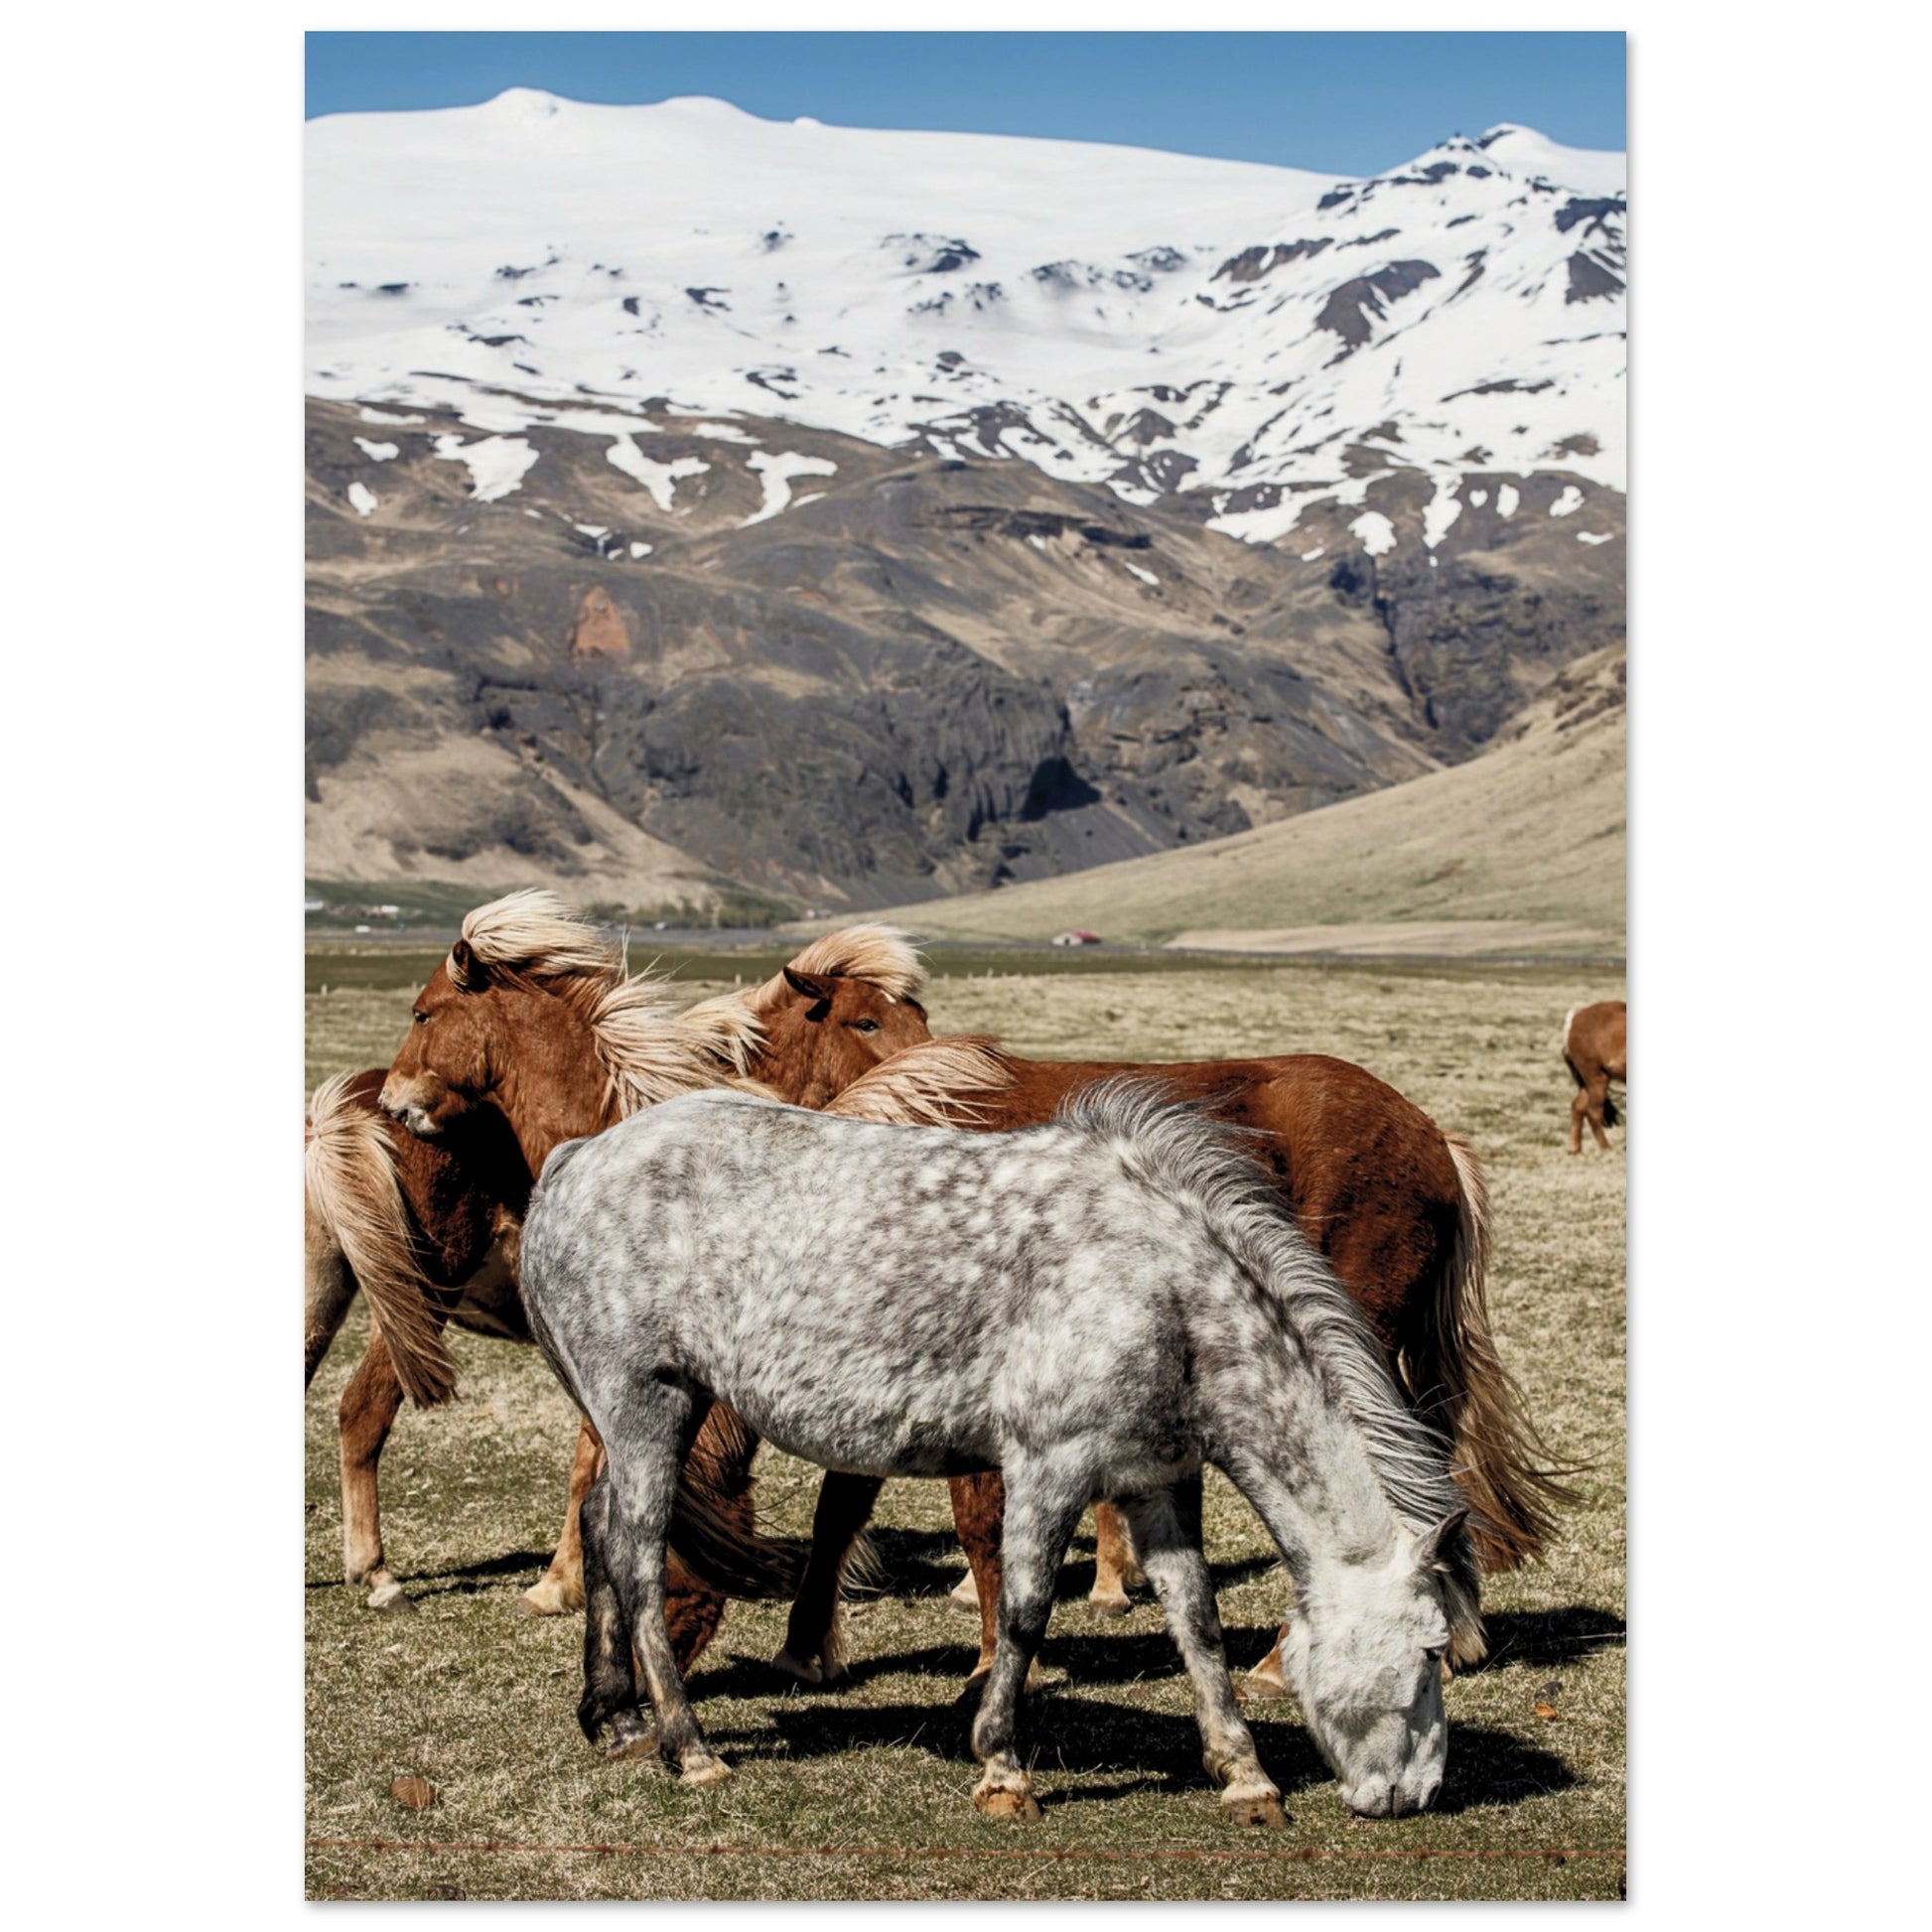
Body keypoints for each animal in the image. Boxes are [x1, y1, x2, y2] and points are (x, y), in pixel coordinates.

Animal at [304, 888, 801, 1662]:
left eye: (422, 1013)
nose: (396, 1103)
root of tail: (339, 1111)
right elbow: (595, 1460)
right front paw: (564, 1583)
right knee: (362, 1411)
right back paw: (379, 1576)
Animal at [520, 1082, 1484, 1824]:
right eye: (1430, 1653)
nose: (1416, 1794)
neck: (1165, 1292)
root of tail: (577, 1158)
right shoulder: (1049, 1466)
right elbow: (1023, 1612)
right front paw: (1002, 1767)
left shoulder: (1159, 1479)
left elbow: (1197, 1620)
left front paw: (1244, 1774)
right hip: (648, 1401)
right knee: (637, 1554)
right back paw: (688, 1747)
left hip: (654, 1411)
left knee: (601, 1527)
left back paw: (614, 1718)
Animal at [729, 929, 1566, 1688]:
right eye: (864, 1021)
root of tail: (1431, 1135)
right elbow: (841, 1506)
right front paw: (803, 1649)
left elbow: (979, 1523)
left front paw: (1000, 1662)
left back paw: (1282, 1662)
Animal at [1562, 1001, 1627, 1154]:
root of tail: (1575, 1019)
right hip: (1597, 1077)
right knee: (1593, 1112)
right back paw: (1606, 1149)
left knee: (1578, 1107)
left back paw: (1577, 1152)